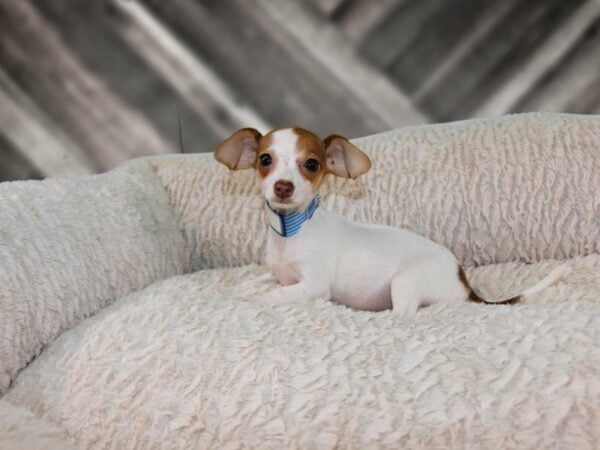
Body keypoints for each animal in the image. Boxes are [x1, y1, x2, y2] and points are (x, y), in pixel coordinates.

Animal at [214, 126, 568, 316]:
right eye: (265, 160)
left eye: (312, 165)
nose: (283, 187)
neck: (292, 230)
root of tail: (464, 284)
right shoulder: (279, 274)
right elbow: (260, 280)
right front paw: (241, 287)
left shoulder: (312, 286)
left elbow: (273, 295)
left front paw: (250, 297)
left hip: (405, 281)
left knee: (403, 315)